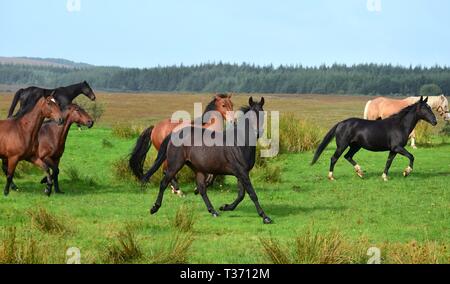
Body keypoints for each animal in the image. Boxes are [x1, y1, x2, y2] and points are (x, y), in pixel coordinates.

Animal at [139, 97, 272, 224]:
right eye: (251, 116)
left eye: (262, 114)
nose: (258, 133)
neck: (239, 142)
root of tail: (174, 134)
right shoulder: (241, 172)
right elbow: (252, 194)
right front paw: (265, 217)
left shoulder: (241, 173)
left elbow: (241, 194)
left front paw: (225, 207)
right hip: (175, 165)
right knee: (164, 182)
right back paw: (155, 207)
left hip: (197, 168)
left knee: (202, 189)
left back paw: (213, 211)